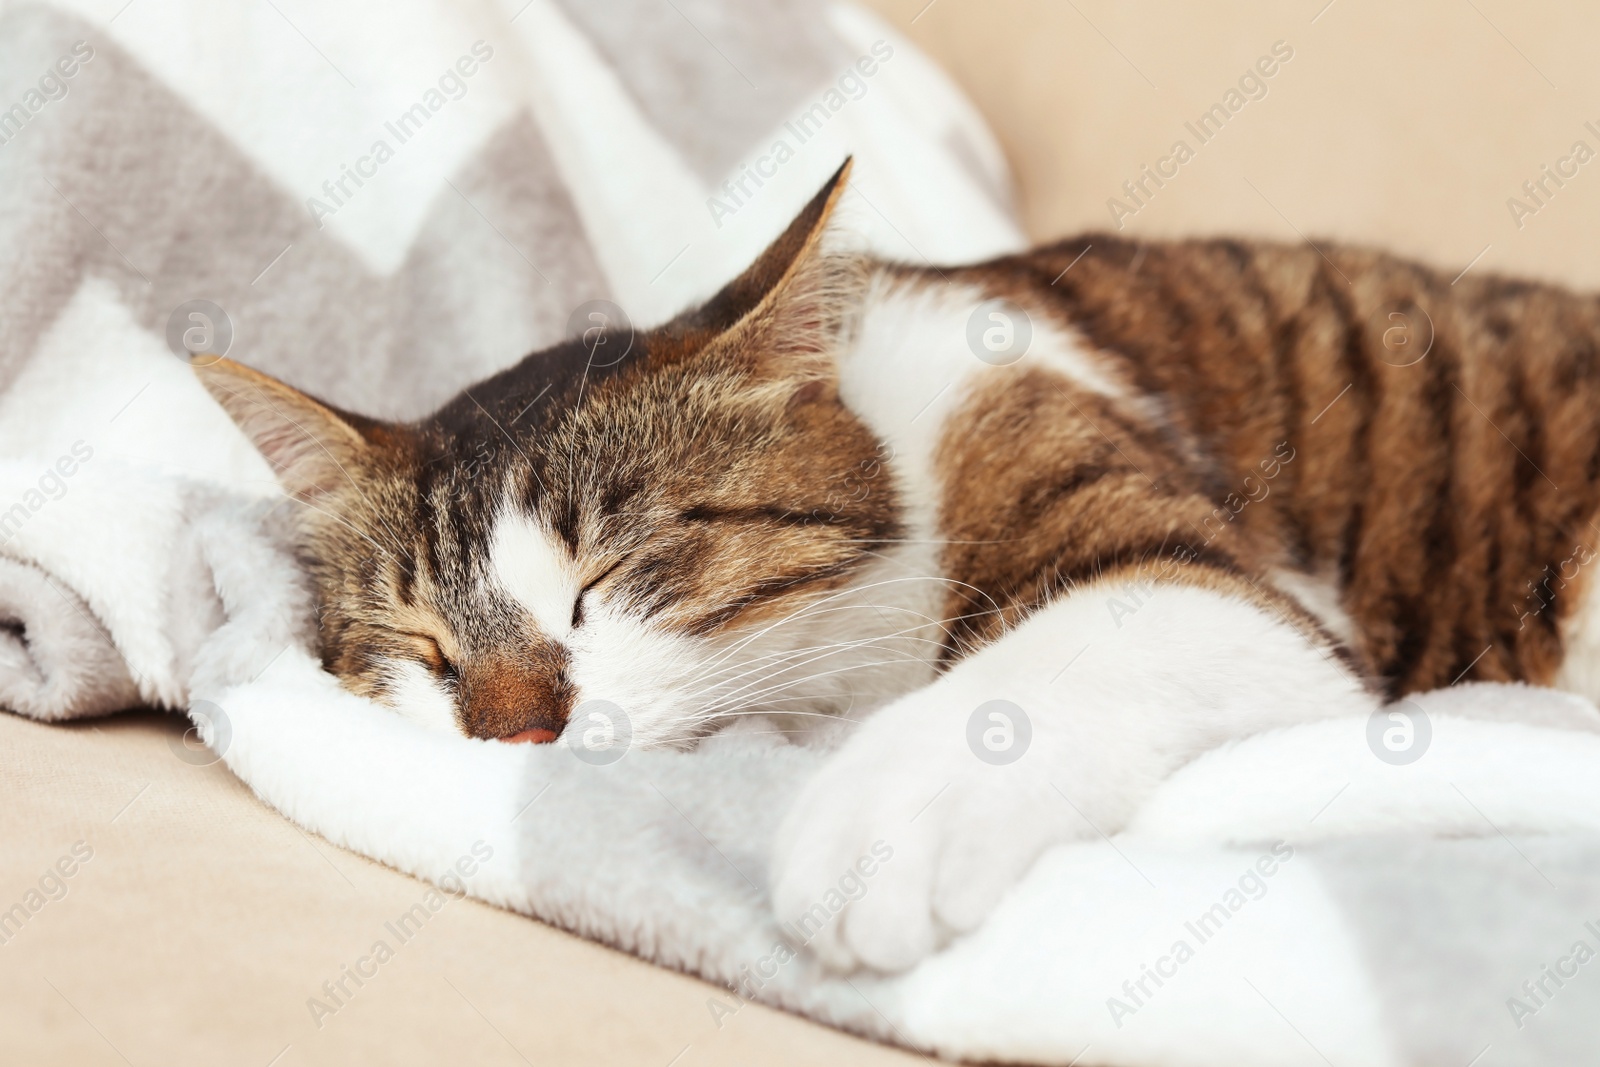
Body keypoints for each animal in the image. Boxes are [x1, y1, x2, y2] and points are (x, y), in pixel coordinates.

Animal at [203, 160, 1600, 979]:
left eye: (611, 576)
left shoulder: (1216, 569)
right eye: (423, 647)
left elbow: (1068, 651)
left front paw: (881, 823)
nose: (514, 732)